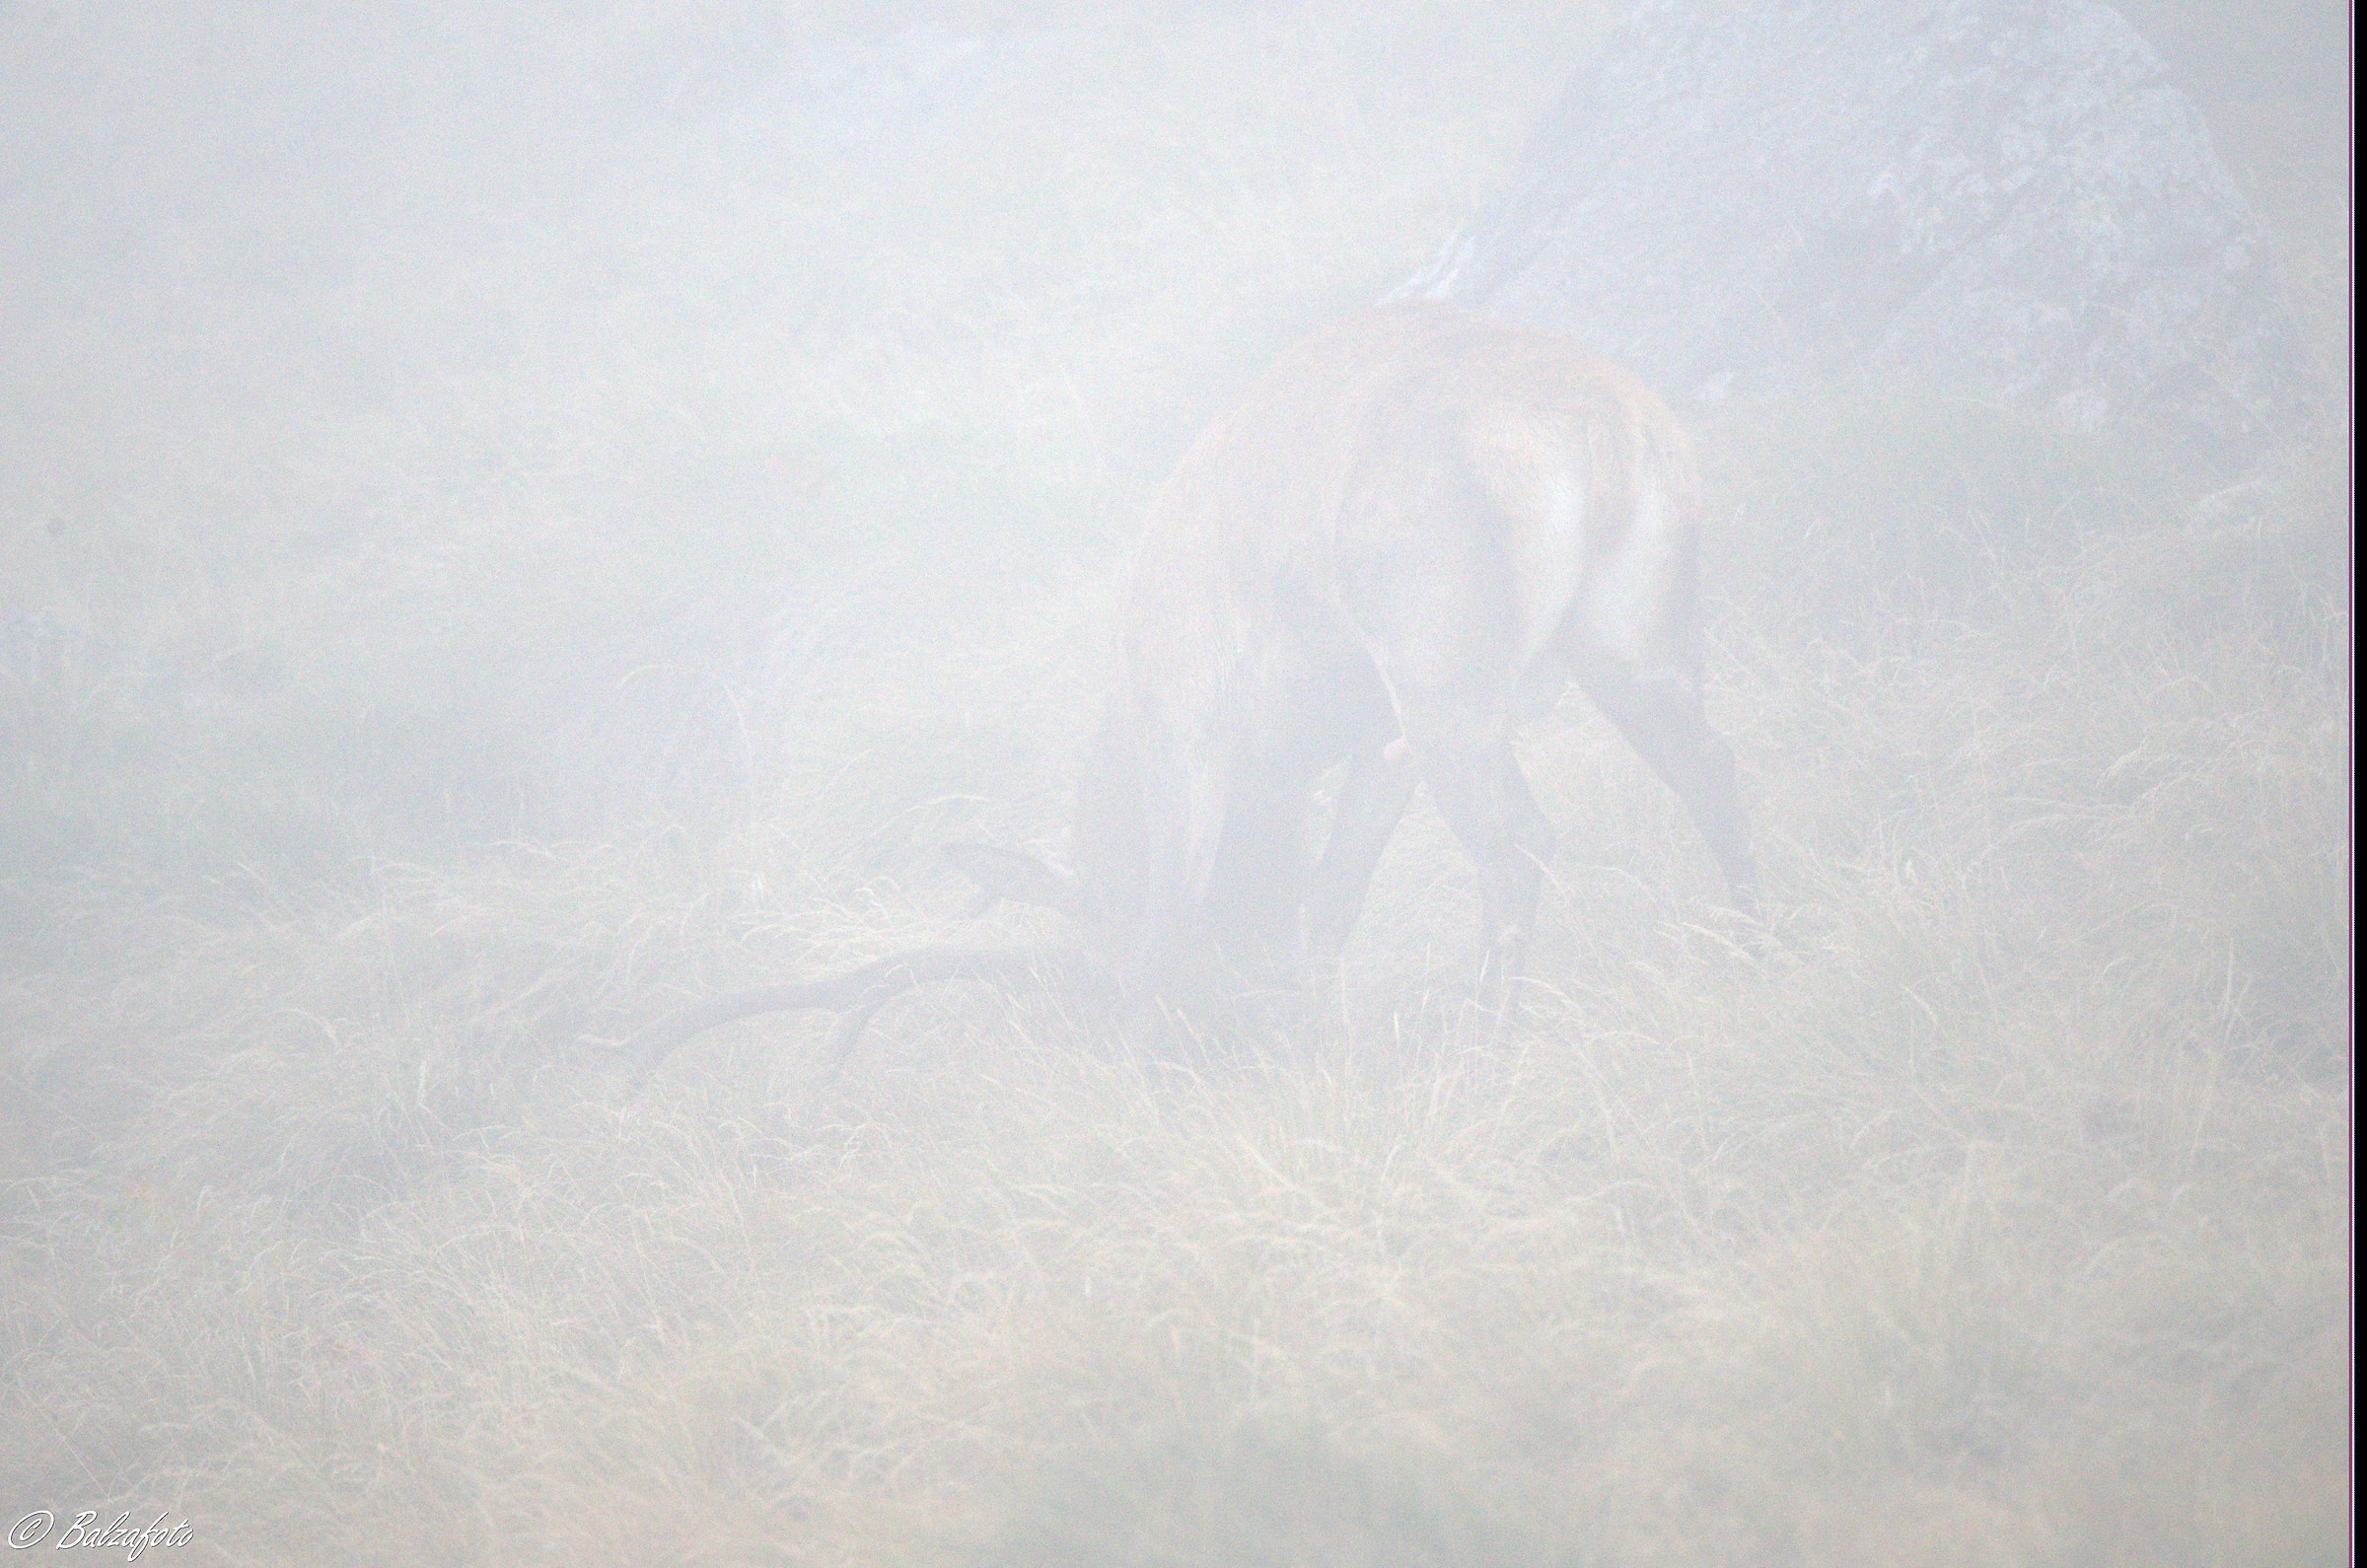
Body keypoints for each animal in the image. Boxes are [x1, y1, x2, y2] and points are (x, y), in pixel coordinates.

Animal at [614, 302, 1758, 1076]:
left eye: (1089, 970)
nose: (1217, 1042)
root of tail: (1606, 428)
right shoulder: (1371, 734)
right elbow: (1327, 903)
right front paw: (1304, 1039)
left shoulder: (1191, 729)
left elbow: (1175, 917)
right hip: (1629, 631)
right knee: (1709, 766)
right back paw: (1756, 952)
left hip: (1443, 656)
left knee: (1519, 841)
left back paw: (1486, 1056)